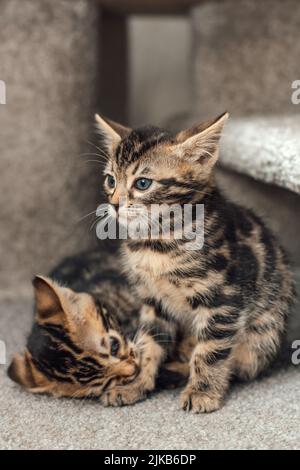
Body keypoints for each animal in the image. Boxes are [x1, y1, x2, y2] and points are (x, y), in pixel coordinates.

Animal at [96, 113, 296, 412]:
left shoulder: (223, 299)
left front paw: (203, 392)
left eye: (142, 183)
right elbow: (148, 343)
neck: (158, 242)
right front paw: (135, 384)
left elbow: (210, 350)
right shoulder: (153, 302)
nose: (115, 204)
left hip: (263, 335)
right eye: (110, 180)